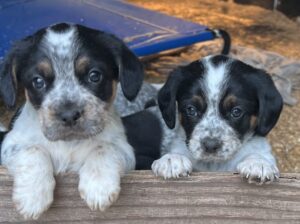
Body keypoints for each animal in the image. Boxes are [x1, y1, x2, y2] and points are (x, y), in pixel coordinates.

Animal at [0, 23, 144, 220]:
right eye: (38, 81)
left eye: (94, 76)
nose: (68, 115)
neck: (69, 144)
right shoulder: (10, 145)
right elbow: (33, 150)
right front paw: (32, 197)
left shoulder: (124, 149)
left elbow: (104, 148)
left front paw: (98, 186)